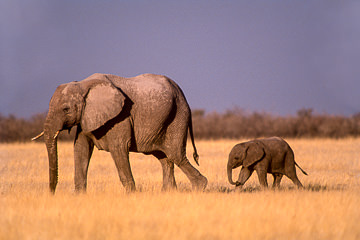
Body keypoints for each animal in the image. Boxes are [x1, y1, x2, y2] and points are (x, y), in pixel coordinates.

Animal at [34, 72, 208, 193]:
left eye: (66, 109)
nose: (51, 194)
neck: (83, 84)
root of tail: (182, 93)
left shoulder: (121, 116)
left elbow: (119, 148)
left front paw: (132, 194)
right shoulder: (86, 117)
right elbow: (81, 149)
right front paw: (79, 195)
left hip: (178, 116)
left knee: (175, 154)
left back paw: (200, 188)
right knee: (164, 158)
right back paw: (168, 192)